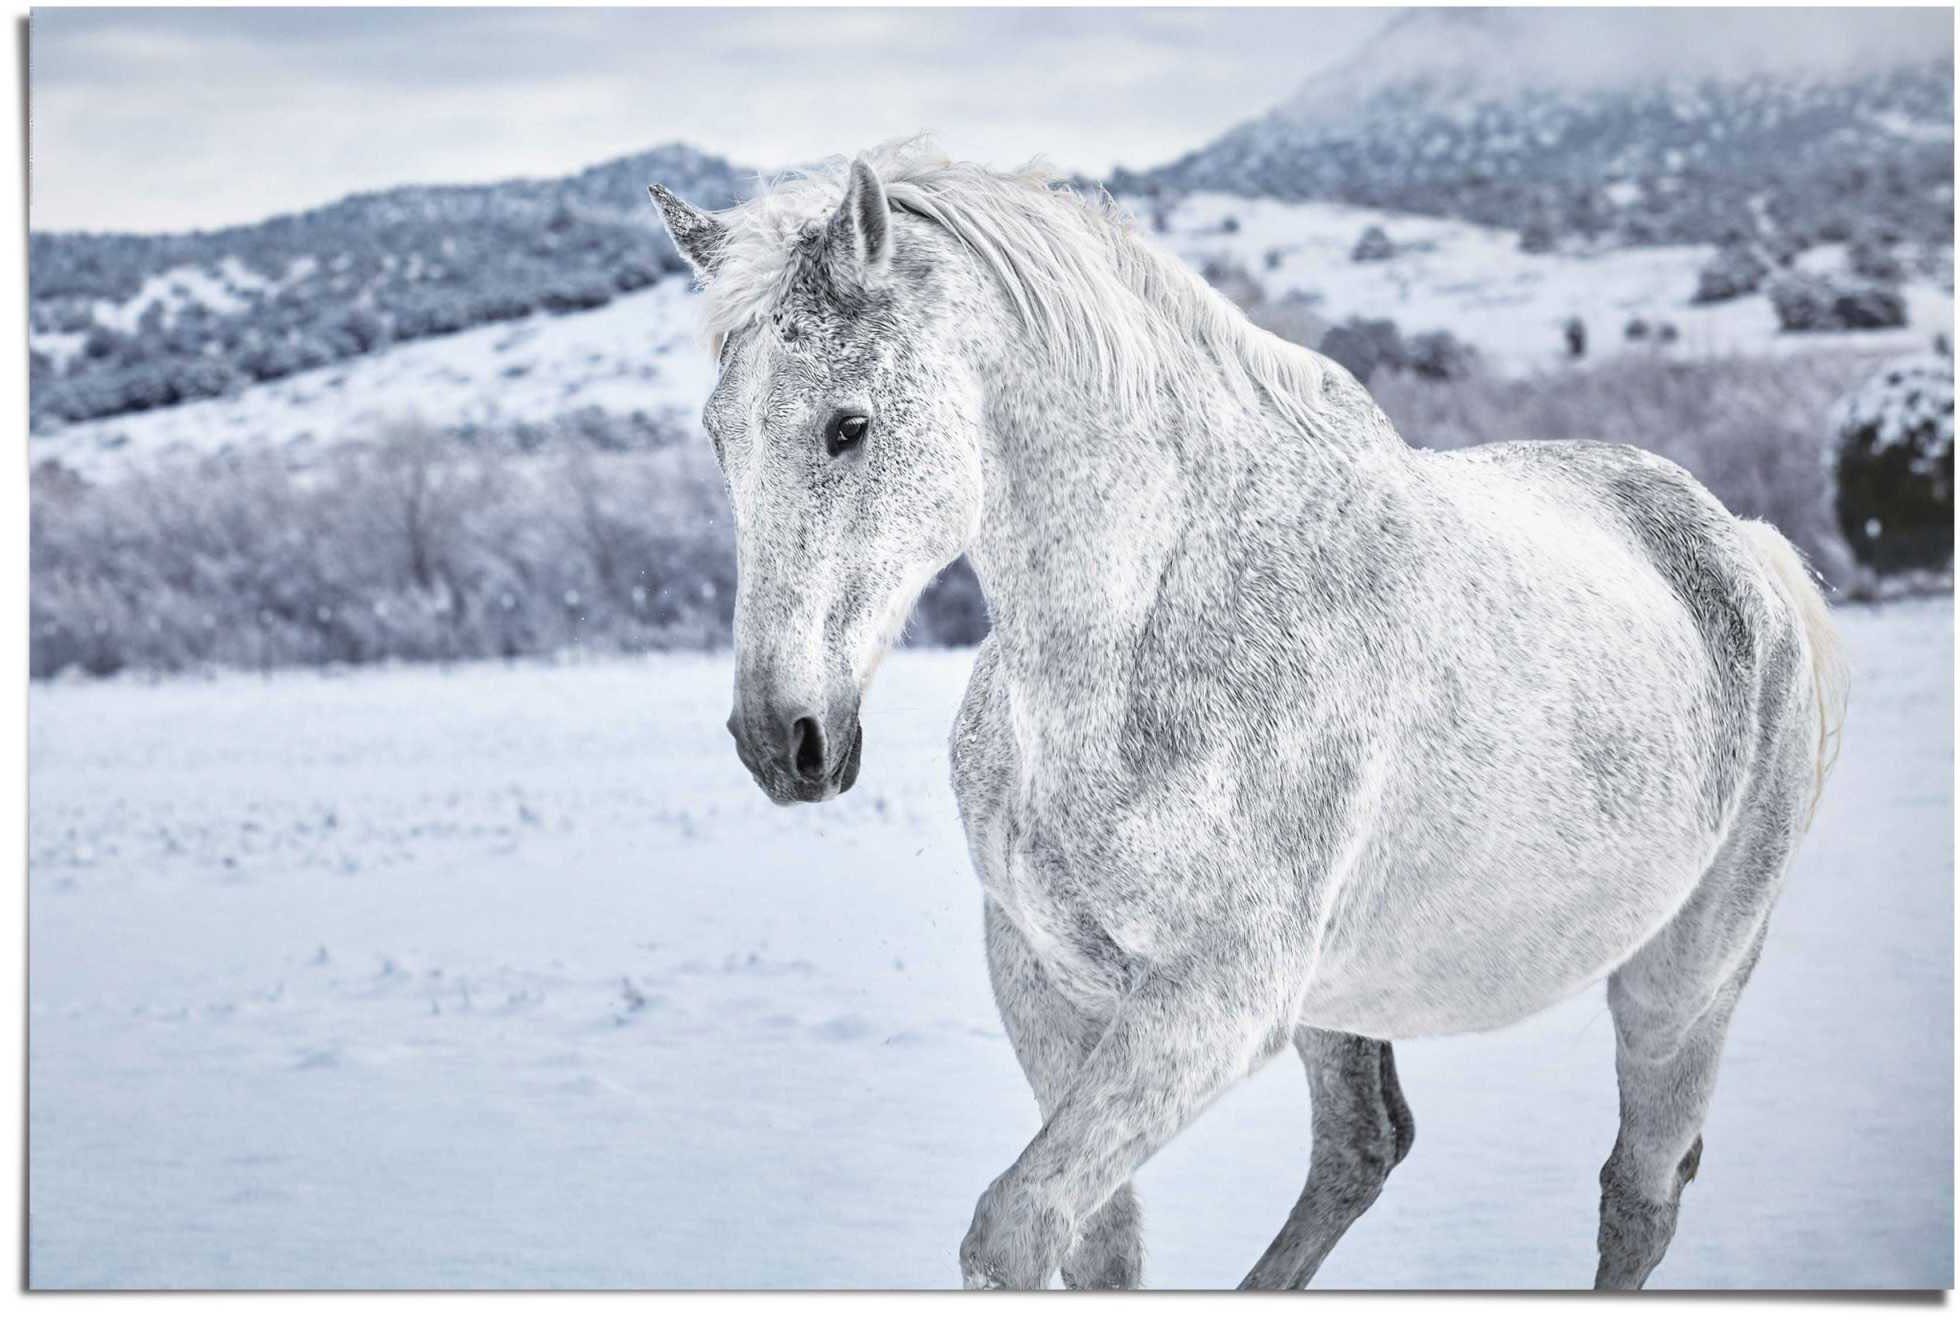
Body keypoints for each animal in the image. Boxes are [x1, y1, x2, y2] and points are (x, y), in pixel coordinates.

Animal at [646, 139, 1849, 1290]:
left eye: (847, 427)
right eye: (718, 434)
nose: (782, 740)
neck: (1145, 627)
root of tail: (1744, 547)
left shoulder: (1210, 1004)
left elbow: (1013, 1230)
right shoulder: (1046, 981)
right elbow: (1096, 1246)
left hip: (1682, 984)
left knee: (1638, 1191)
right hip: (1344, 1000)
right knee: (1364, 1147)